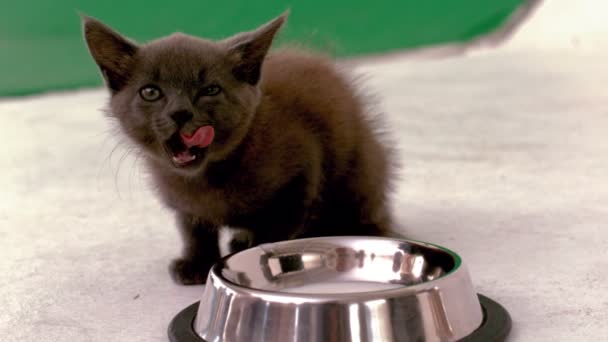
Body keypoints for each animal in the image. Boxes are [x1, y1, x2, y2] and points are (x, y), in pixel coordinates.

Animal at [82, 12, 394, 284]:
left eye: (210, 90)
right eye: (150, 92)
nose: (180, 113)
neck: (206, 179)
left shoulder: (303, 170)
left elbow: (277, 229)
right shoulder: (183, 203)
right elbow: (192, 229)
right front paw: (196, 262)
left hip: (360, 173)